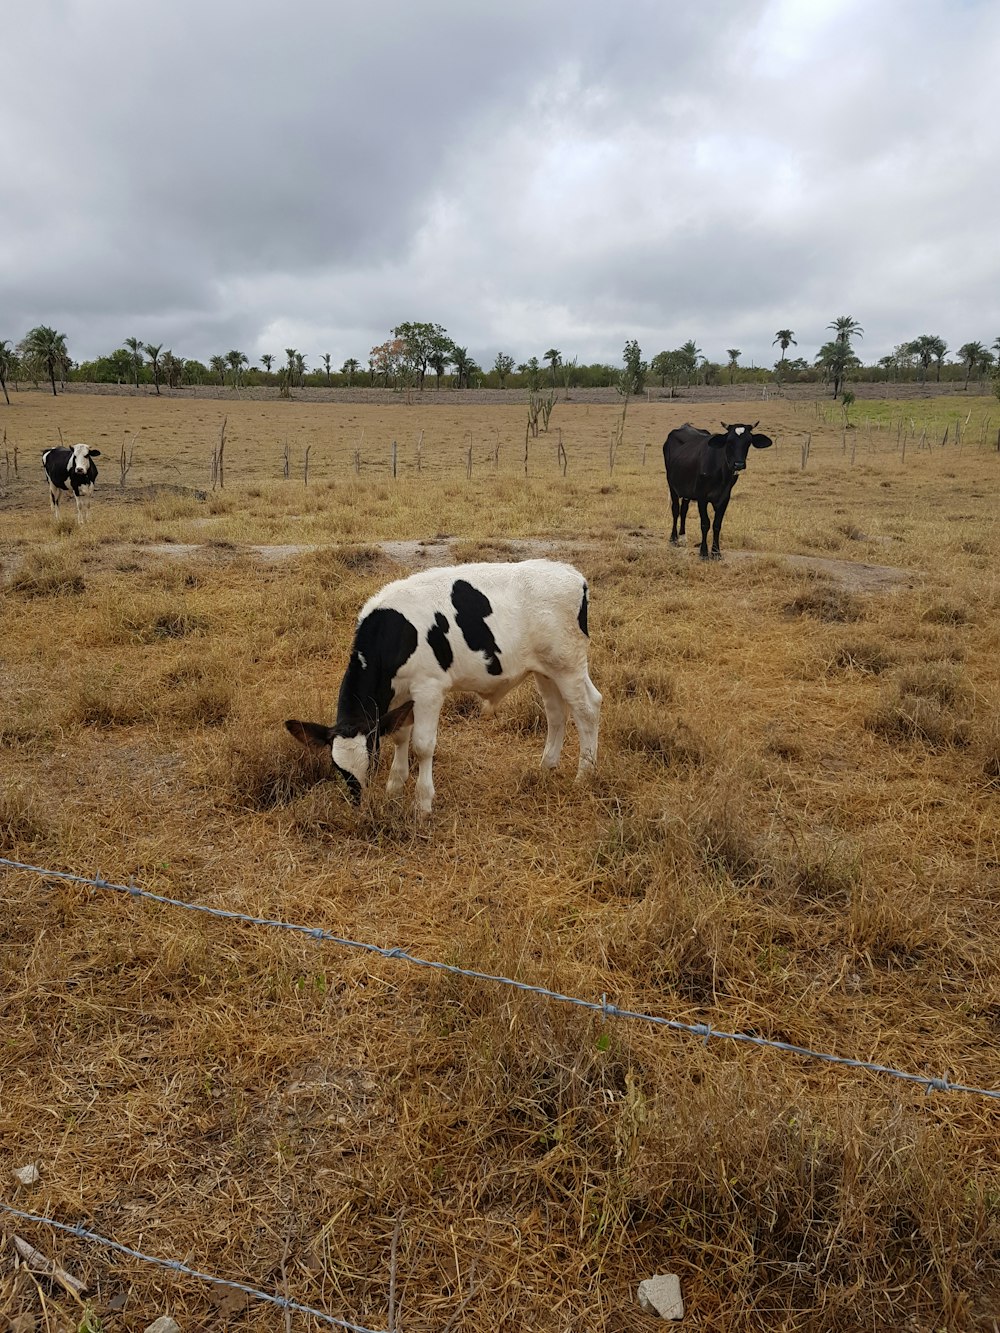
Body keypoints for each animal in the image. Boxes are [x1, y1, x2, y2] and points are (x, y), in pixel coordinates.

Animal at [285, 557, 608, 815]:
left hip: (568, 665)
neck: (394, 633)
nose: (359, 805)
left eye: (372, 762)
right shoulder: (399, 695)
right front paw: (395, 786)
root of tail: (572, 574)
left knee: (587, 709)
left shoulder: (429, 689)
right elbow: (400, 735)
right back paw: (547, 766)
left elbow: (422, 745)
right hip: (545, 670)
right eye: (337, 768)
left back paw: (585, 775)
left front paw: (422, 803)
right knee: (556, 712)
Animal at [666, 421, 773, 557]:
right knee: (675, 510)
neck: (721, 472)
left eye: (748, 442)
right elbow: (705, 523)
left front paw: (716, 551)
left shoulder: (724, 498)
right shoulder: (702, 497)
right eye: (729, 441)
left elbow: (717, 524)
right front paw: (704, 552)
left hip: (686, 490)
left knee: (684, 510)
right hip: (672, 485)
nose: (738, 464)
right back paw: (673, 538)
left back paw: (683, 537)